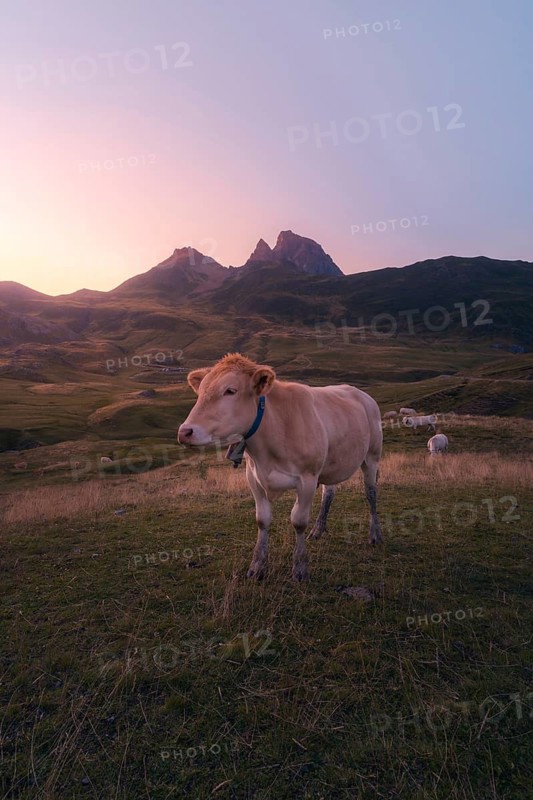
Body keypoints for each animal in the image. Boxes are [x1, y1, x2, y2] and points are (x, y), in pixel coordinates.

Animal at [177, 353, 383, 581]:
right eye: (200, 391)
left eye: (230, 390)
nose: (185, 432)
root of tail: (361, 393)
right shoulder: (253, 477)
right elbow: (262, 520)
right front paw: (257, 566)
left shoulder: (307, 478)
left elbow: (298, 521)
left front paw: (300, 568)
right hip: (331, 463)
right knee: (329, 492)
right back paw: (318, 530)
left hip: (371, 456)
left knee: (371, 493)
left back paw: (375, 535)